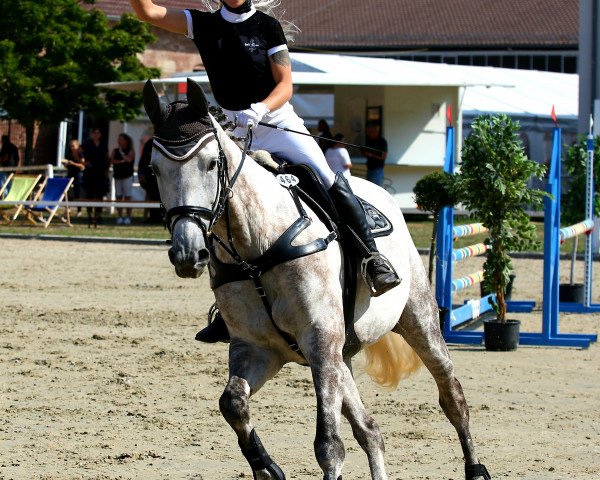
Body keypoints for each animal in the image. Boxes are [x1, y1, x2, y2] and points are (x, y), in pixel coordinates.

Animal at [145, 79, 492, 480]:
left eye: (211, 163)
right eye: (154, 169)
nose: (188, 254)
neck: (257, 249)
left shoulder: (320, 341)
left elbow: (329, 446)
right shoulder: (258, 349)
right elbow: (233, 403)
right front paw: (267, 467)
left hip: (417, 321)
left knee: (451, 395)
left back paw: (476, 467)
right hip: (341, 356)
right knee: (371, 431)